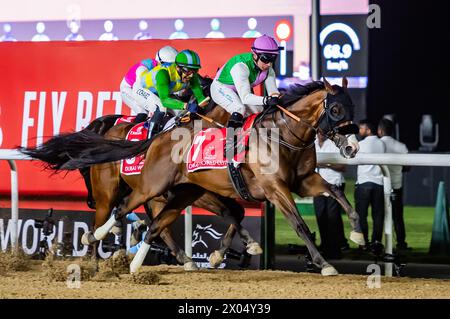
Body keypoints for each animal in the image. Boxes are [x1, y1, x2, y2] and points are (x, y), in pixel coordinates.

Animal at [22, 78, 366, 278]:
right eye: (336, 109)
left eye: (352, 105)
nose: (352, 146)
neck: (282, 135)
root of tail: (158, 139)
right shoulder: (274, 189)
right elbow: (298, 224)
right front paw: (325, 264)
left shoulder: (303, 180)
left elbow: (339, 195)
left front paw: (358, 234)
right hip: (140, 188)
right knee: (118, 211)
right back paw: (94, 250)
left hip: (180, 191)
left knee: (156, 225)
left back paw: (144, 263)